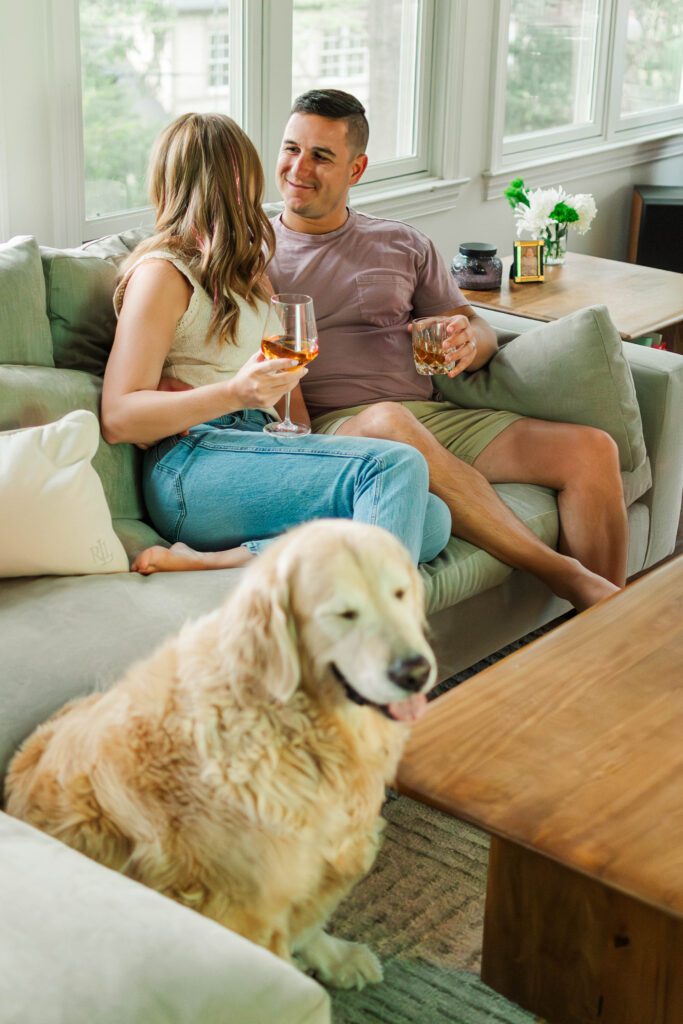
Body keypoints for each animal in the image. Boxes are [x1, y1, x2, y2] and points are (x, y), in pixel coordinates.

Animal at [2, 524, 436, 987]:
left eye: (399, 593)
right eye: (343, 613)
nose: (416, 672)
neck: (295, 725)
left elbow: (310, 918)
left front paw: (335, 957)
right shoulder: (243, 908)